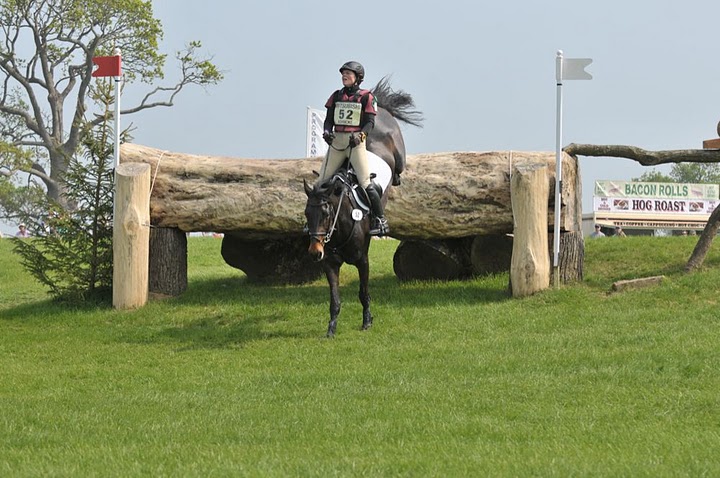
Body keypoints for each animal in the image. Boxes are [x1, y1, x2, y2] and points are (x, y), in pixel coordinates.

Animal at [302, 77, 422, 336]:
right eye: (307, 213)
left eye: (326, 213)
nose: (314, 252)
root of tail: (382, 109)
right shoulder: (330, 264)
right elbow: (334, 299)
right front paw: (331, 328)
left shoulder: (362, 260)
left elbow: (363, 293)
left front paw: (367, 321)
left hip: (394, 151)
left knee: (392, 172)